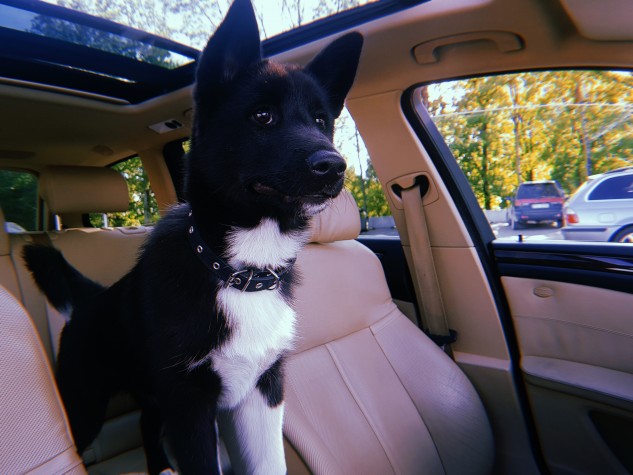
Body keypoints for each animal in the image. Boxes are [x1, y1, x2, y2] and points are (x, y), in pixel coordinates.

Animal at [22, 0, 362, 473]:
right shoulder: (189, 407)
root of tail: (92, 299)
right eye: (262, 115)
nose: (334, 167)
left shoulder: (264, 392)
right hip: (83, 405)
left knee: (147, 424)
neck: (238, 272)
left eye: (320, 120)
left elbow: (269, 462)